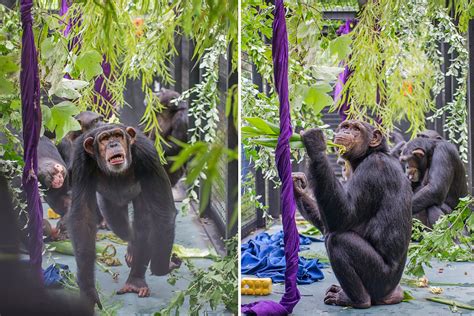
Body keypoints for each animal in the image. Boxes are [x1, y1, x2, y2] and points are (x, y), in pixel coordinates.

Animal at [67, 124, 177, 308]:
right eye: (104, 139)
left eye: (118, 135)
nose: (113, 144)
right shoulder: (80, 162)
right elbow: (83, 217)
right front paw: (88, 291)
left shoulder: (147, 156)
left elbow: (163, 211)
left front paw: (162, 267)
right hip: (109, 205)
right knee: (121, 226)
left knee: (144, 222)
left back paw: (136, 279)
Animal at [302, 119, 412, 308]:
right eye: (346, 126)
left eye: (356, 129)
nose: (345, 131)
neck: (368, 154)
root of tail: (390, 295)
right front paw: (297, 186)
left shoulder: (372, 169)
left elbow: (344, 216)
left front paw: (315, 144)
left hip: (379, 278)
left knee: (338, 240)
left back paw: (355, 300)